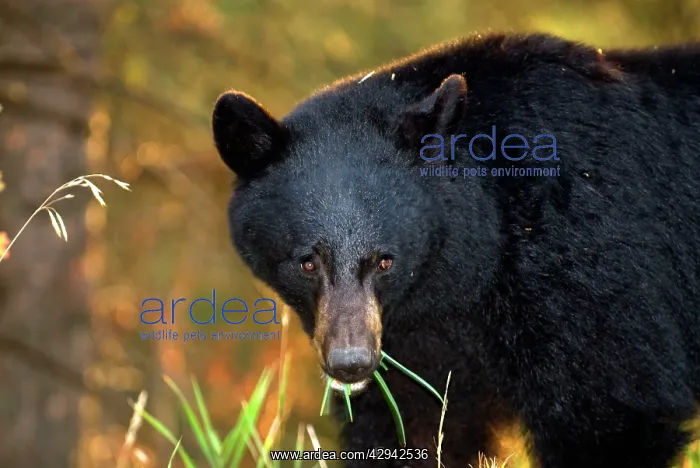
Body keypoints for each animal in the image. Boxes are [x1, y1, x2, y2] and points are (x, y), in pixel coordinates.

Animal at [211, 32, 700, 468]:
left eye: (385, 261)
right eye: (307, 263)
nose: (351, 363)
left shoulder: (587, 261)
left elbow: (610, 408)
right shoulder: (416, 339)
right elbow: (409, 425)